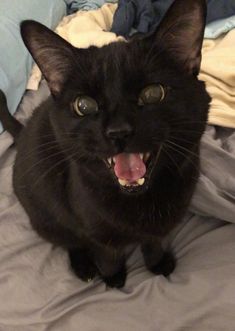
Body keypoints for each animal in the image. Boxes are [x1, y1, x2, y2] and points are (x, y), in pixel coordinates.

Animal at [0, 0, 209, 290]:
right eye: (84, 105)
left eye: (153, 93)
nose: (118, 131)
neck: (141, 203)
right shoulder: (94, 233)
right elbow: (107, 254)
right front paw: (113, 278)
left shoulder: (158, 228)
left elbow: (153, 243)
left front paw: (156, 264)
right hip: (46, 218)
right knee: (69, 241)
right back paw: (84, 267)